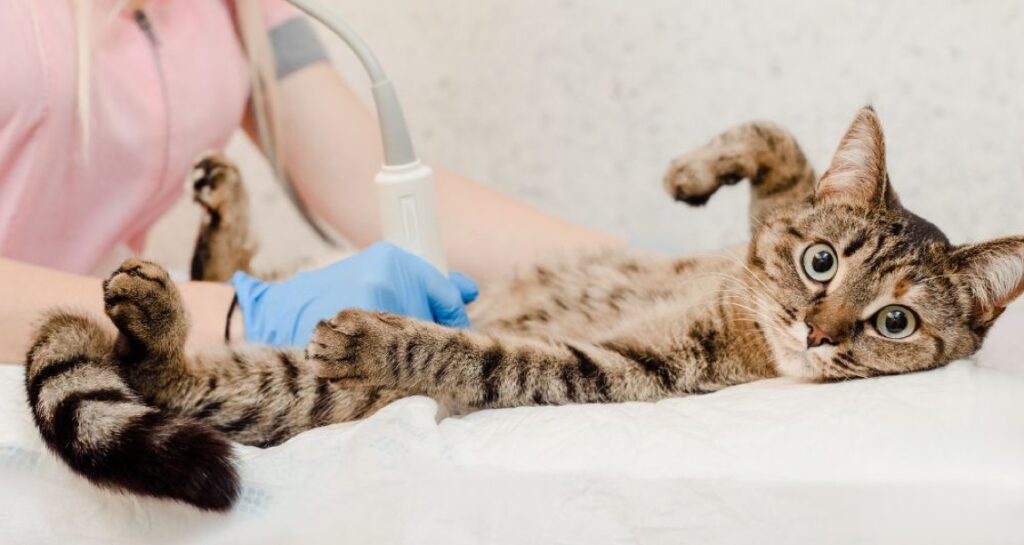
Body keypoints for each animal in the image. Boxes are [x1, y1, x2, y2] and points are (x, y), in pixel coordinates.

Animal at [24, 106, 1024, 510]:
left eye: (894, 322)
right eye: (822, 262)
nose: (816, 330)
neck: (746, 321)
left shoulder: (618, 371)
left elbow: (481, 353)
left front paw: (389, 336)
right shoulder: (755, 243)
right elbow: (782, 154)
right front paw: (699, 168)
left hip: (304, 392)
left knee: (181, 379)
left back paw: (161, 318)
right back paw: (217, 219)